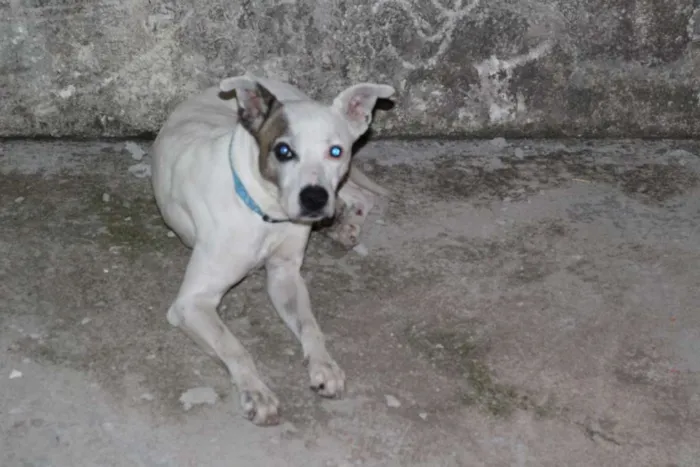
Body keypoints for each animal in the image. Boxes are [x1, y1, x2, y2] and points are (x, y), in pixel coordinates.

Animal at [150, 74, 396, 428]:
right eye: (283, 150)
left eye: (335, 151)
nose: (314, 198)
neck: (266, 212)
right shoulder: (191, 304)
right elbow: (234, 347)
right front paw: (257, 393)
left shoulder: (285, 275)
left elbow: (310, 326)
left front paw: (324, 366)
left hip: (339, 186)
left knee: (363, 196)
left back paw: (346, 224)